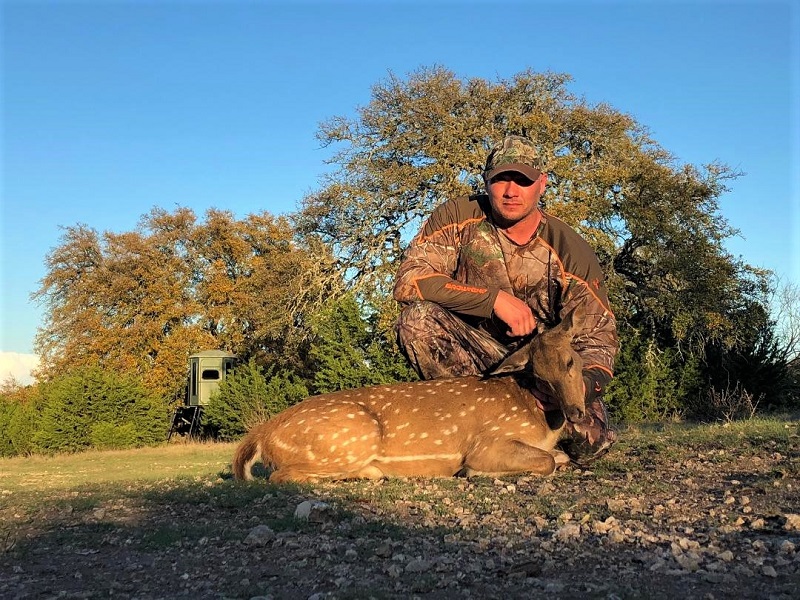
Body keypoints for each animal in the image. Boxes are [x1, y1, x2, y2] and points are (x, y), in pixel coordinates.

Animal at [232, 308, 589, 483]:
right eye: (538, 376)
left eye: (571, 361)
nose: (576, 412)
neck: (540, 422)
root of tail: (262, 433)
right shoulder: (487, 441)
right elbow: (546, 461)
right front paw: (473, 472)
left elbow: (560, 456)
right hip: (349, 437)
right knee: (278, 476)